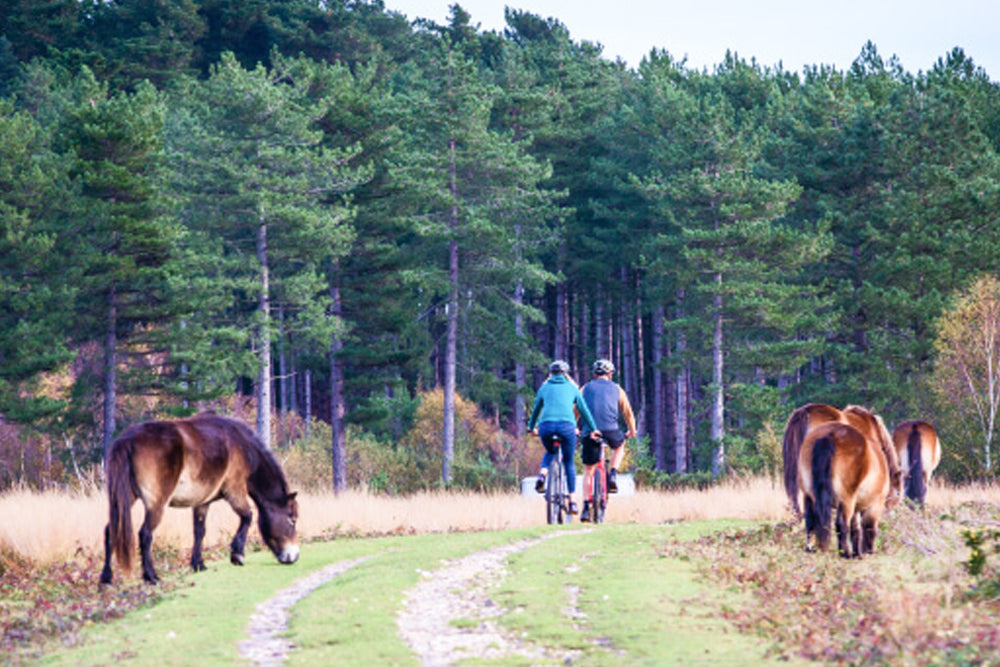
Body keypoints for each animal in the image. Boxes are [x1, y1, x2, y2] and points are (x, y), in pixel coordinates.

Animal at [100, 412, 299, 585]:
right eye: (292, 519)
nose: (294, 556)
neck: (242, 446)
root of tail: (128, 440)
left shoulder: (202, 503)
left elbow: (199, 531)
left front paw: (198, 563)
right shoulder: (234, 490)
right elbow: (247, 517)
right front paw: (237, 555)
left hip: (124, 499)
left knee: (110, 531)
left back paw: (106, 577)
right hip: (156, 504)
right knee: (146, 534)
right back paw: (151, 576)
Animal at [797, 421, 894, 558]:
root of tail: (829, 435)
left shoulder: (856, 507)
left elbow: (855, 530)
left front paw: (858, 553)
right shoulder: (875, 504)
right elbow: (869, 528)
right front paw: (867, 552)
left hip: (809, 496)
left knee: (810, 522)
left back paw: (811, 548)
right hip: (846, 500)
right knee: (841, 523)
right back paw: (845, 553)